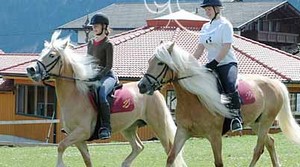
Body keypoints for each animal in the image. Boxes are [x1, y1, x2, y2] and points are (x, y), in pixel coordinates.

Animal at [25, 31, 186, 167]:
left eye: (52, 55)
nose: (31, 70)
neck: (75, 96)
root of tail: (153, 90)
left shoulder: (81, 132)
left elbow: (61, 146)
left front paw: (60, 164)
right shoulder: (78, 138)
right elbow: (87, 160)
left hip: (159, 126)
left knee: (169, 150)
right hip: (129, 128)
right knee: (138, 147)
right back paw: (125, 163)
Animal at [138, 40, 300, 167]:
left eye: (160, 63)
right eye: (149, 61)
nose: (141, 86)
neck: (194, 98)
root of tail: (275, 83)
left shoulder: (215, 136)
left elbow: (219, 163)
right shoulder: (183, 132)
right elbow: (171, 158)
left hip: (266, 121)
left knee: (258, 149)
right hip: (256, 123)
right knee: (270, 142)